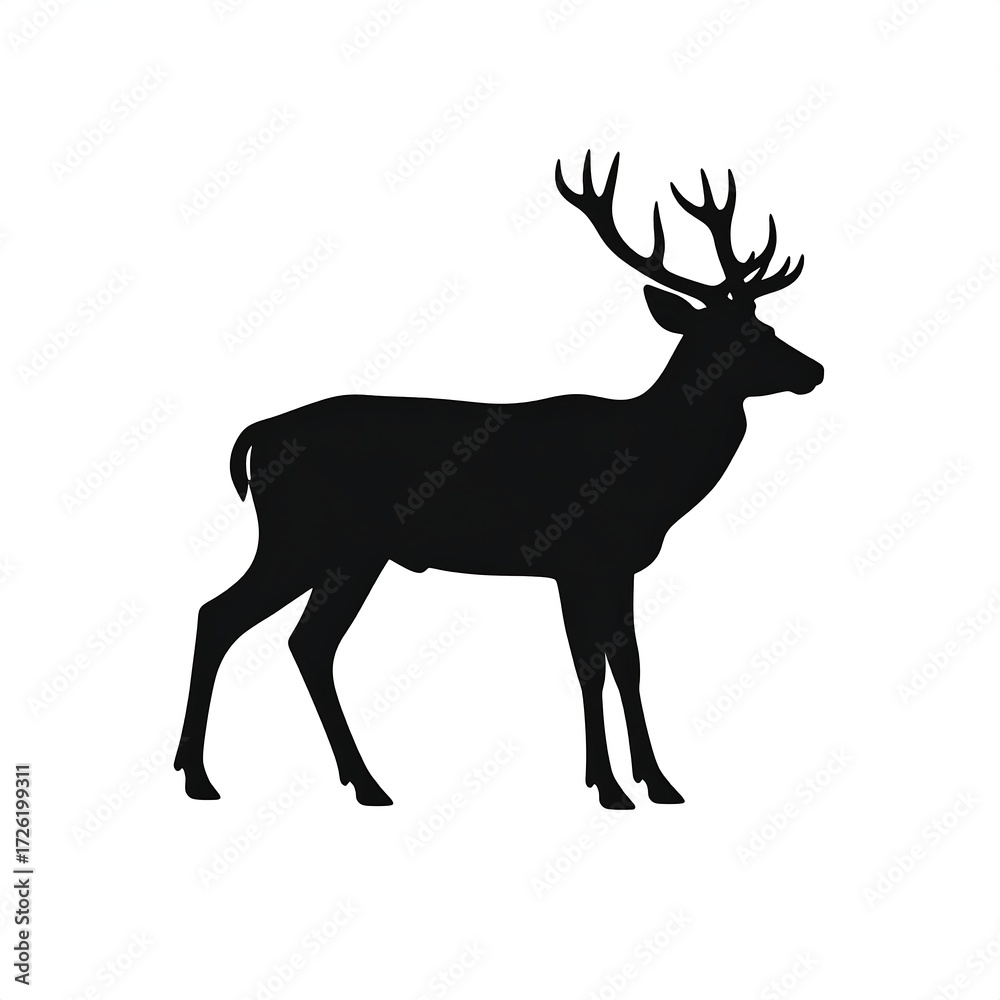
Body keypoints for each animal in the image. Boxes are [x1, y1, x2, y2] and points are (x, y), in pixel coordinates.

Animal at [174, 151, 823, 809]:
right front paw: (610, 785)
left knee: (306, 642)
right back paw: (201, 777)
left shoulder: (616, 565)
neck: (651, 471)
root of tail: (257, 433)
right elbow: (591, 664)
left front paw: (657, 782)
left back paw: (363, 782)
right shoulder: (581, 557)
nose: (815, 370)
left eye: (767, 326)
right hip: (301, 536)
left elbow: (628, 663)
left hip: (352, 553)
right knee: (221, 615)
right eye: (739, 337)